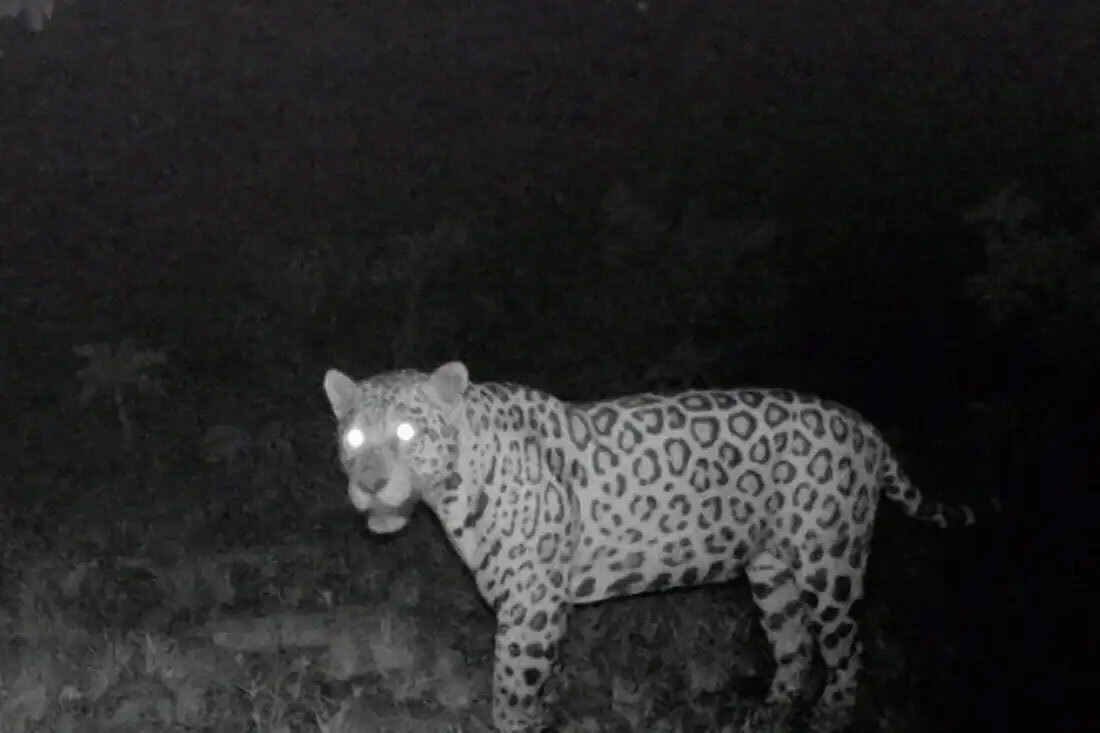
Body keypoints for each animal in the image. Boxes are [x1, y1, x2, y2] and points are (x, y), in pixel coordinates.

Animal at [322, 361, 976, 732]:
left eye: (407, 431)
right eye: (352, 438)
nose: (370, 484)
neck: (456, 486)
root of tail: (866, 427)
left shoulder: (531, 605)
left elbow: (508, 686)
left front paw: (516, 720)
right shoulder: (539, 609)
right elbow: (534, 682)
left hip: (830, 561)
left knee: (847, 650)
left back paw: (829, 717)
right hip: (772, 571)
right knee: (795, 645)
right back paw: (769, 713)